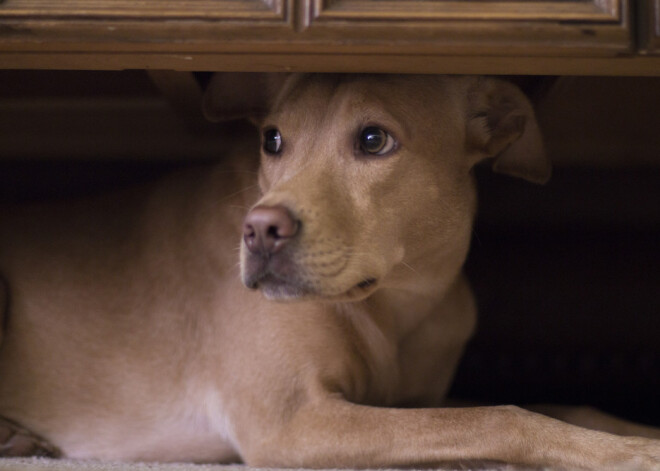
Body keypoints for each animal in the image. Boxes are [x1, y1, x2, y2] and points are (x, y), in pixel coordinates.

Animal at [1, 75, 660, 470]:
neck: (398, 299)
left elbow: (555, 405)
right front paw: (628, 454)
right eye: (272, 140)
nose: (259, 230)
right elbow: (502, 416)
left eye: (373, 139)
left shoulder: (414, 400)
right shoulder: (293, 423)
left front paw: (633, 431)